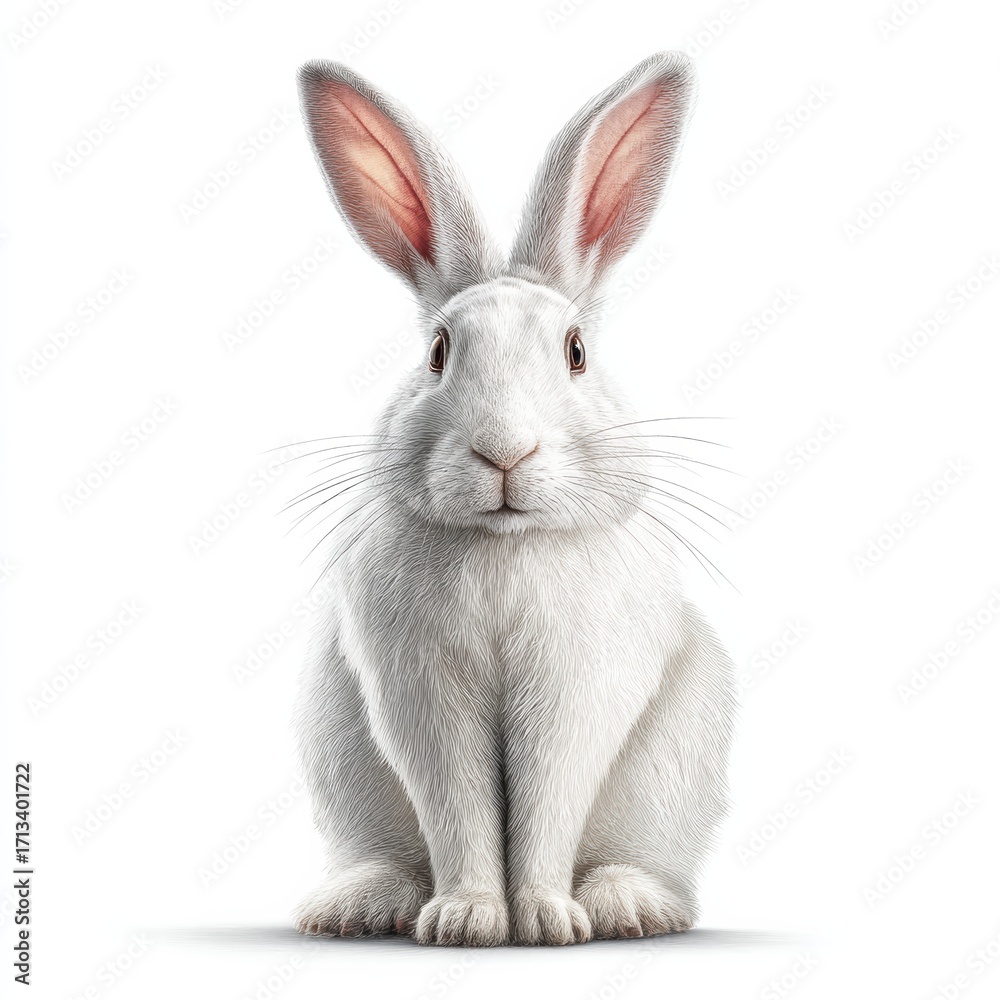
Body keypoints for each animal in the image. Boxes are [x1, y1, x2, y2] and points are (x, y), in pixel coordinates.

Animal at [291, 51, 736, 947]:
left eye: (576, 351)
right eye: (437, 352)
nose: (504, 451)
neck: (506, 544)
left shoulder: (575, 690)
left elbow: (547, 801)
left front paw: (545, 919)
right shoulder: (421, 694)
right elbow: (459, 804)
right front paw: (467, 920)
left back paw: (627, 906)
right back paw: (361, 906)